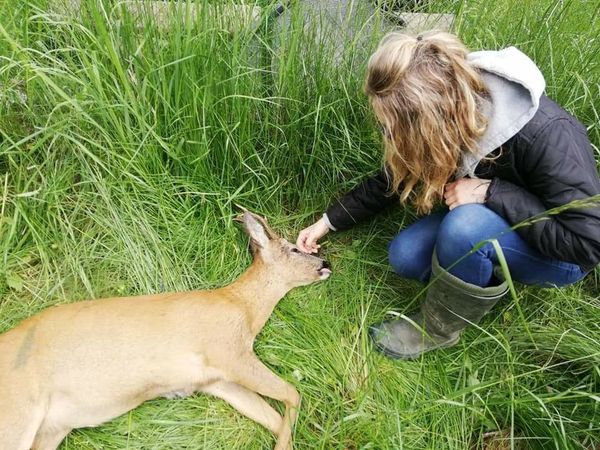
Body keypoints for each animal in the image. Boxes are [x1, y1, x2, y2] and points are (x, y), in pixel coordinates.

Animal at [0, 210, 332, 450]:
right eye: (294, 249)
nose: (325, 262)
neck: (242, 308)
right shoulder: (227, 351)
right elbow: (293, 394)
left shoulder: (216, 381)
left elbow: (274, 417)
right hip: (16, 413)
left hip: (50, 429)